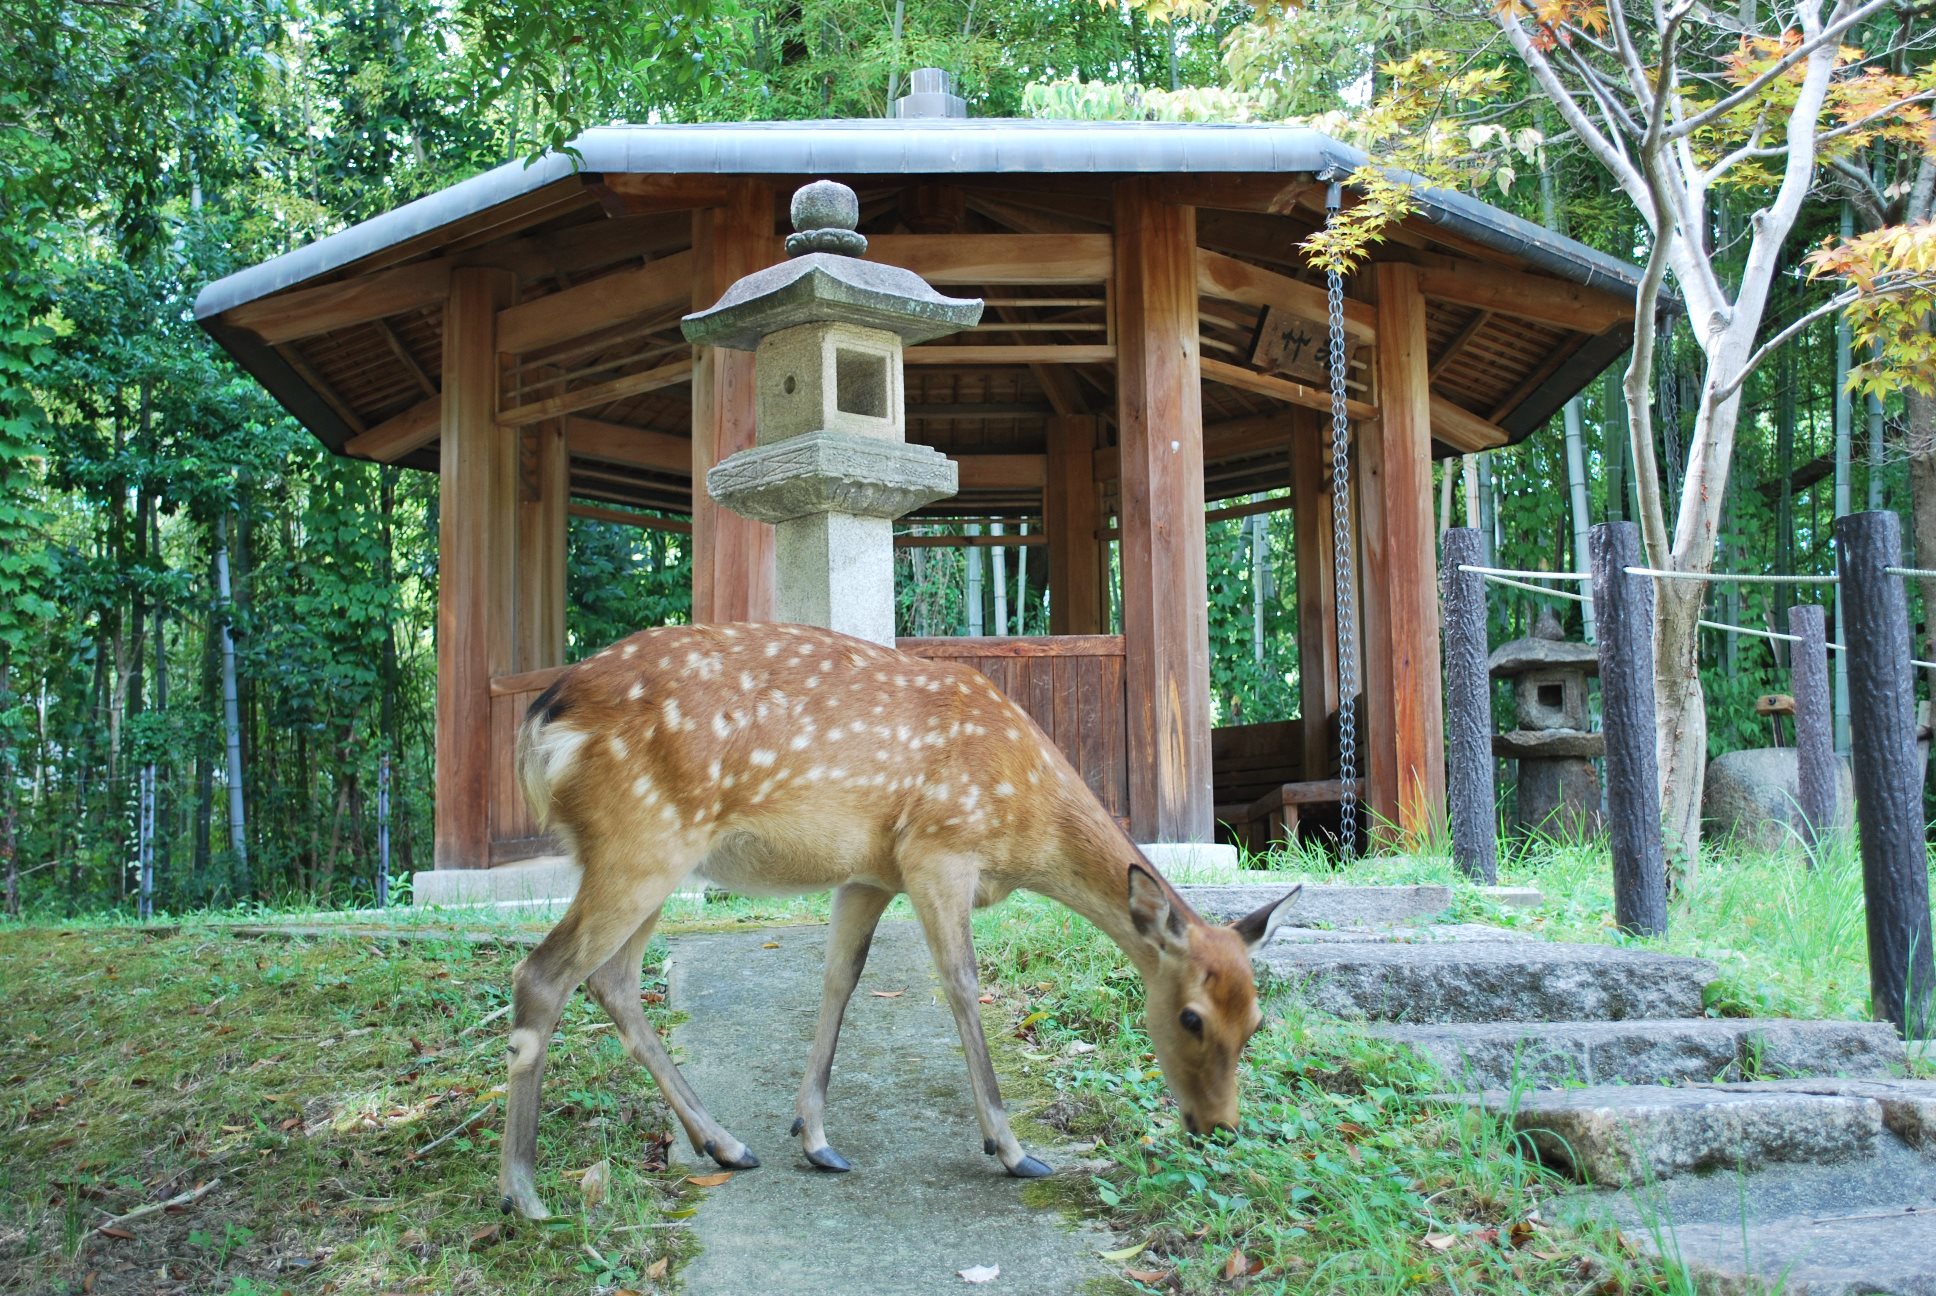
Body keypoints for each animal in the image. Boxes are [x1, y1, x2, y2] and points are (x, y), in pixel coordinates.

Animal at [495, 616, 1300, 1216]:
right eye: (1191, 1016)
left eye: (1257, 1022)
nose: (1220, 1128)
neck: (1024, 822)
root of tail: (540, 719)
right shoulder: (939, 849)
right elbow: (962, 985)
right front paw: (1011, 1149)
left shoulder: (869, 874)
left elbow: (840, 979)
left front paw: (814, 1136)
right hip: (641, 838)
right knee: (543, 974)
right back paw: (524, 1193)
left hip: (652, 857)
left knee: (613, 981)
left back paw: (725, 1144)